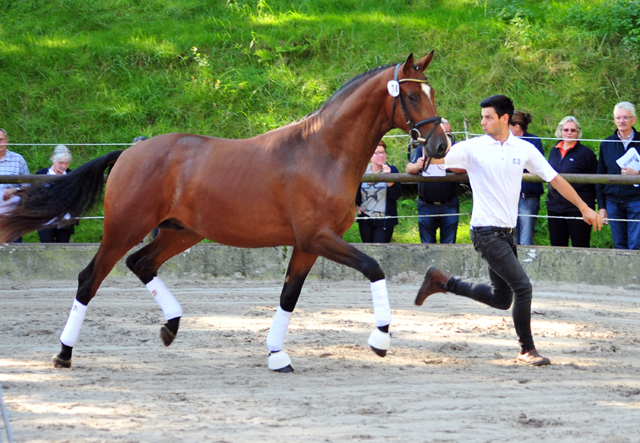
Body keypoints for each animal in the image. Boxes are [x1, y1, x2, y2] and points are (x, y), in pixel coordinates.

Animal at [0, 52, 448, 372]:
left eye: (431, 93)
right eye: (411, 96)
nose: (440, 145)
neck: (322, 153)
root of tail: (129, 152)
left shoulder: (307, 245)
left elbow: (289, 296)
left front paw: (277, 356)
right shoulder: (318, 237)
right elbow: (374, 267)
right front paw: (380, 340)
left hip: (181, 231)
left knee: (141, 263)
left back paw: (171, 326)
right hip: (125, 227)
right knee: (89, 278)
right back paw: (64, 354)